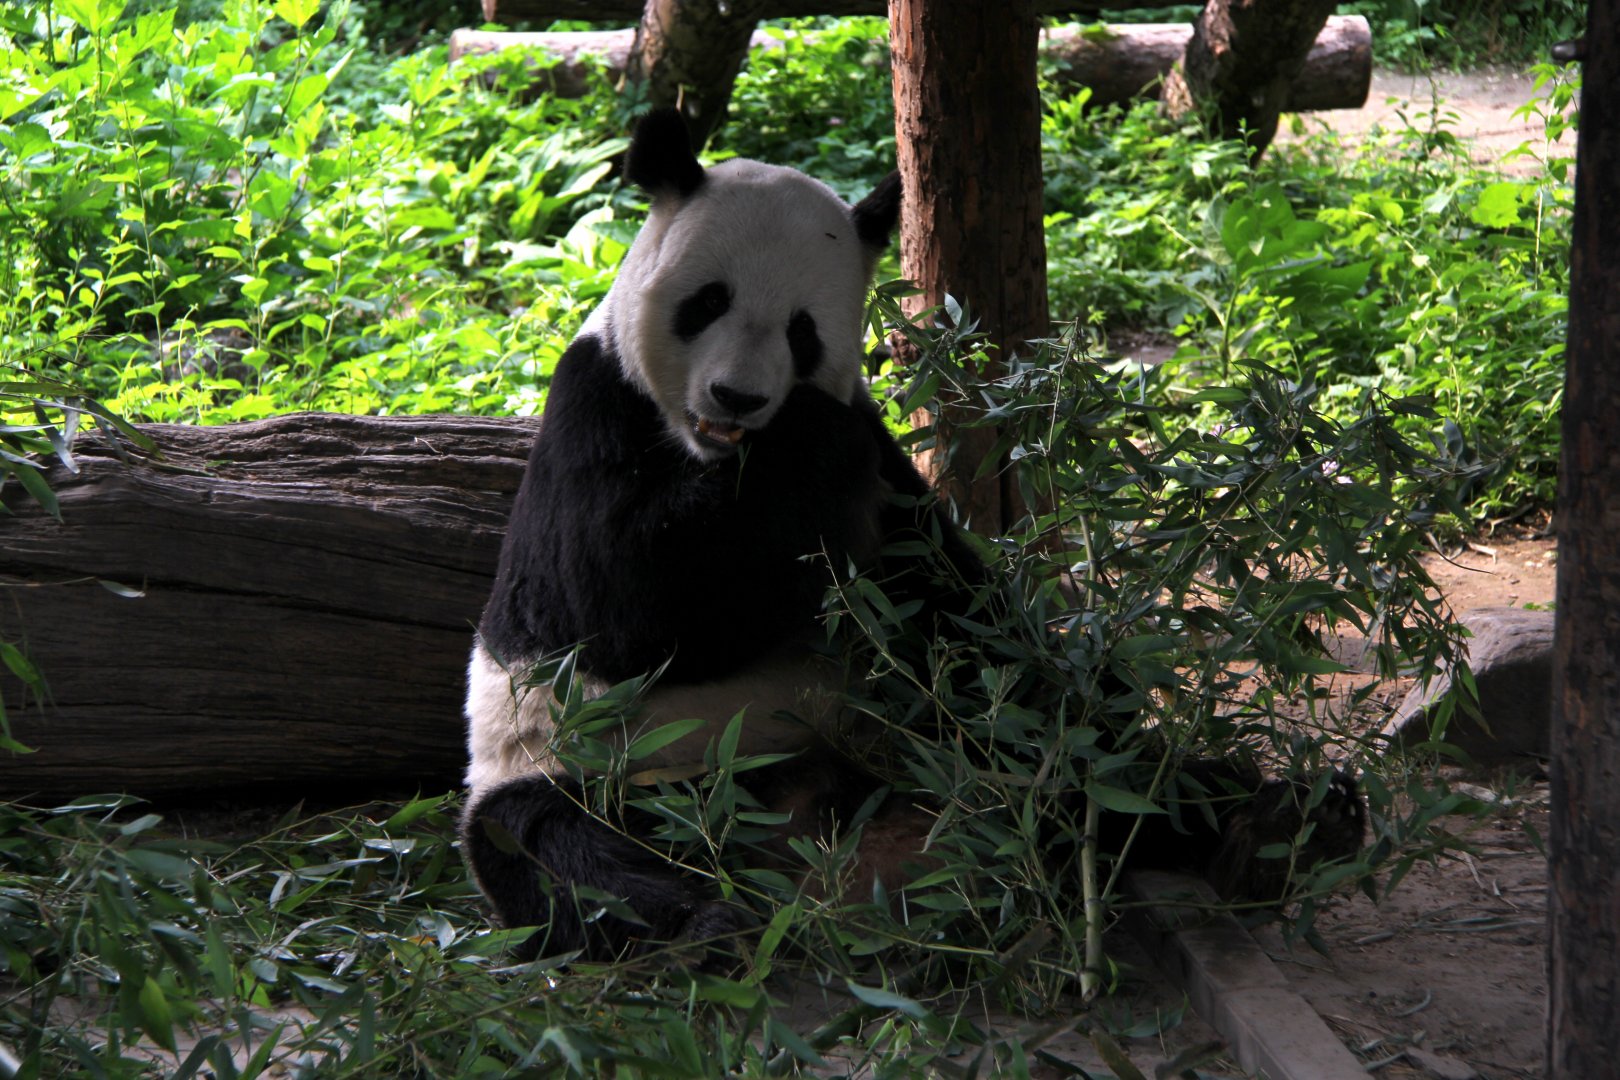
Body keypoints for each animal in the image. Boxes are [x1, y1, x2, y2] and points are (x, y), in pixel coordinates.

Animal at [460, 108, 1367, 962]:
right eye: (707, 302)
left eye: (801, 330)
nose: (736, 397)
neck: (720, 461)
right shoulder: (594, 407)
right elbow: (611, 605)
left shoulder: (887, 486)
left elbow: (966, 617)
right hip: (591, 768)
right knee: (565, 853)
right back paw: (706, 923)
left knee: (1056, 757)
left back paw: (1267, 824)